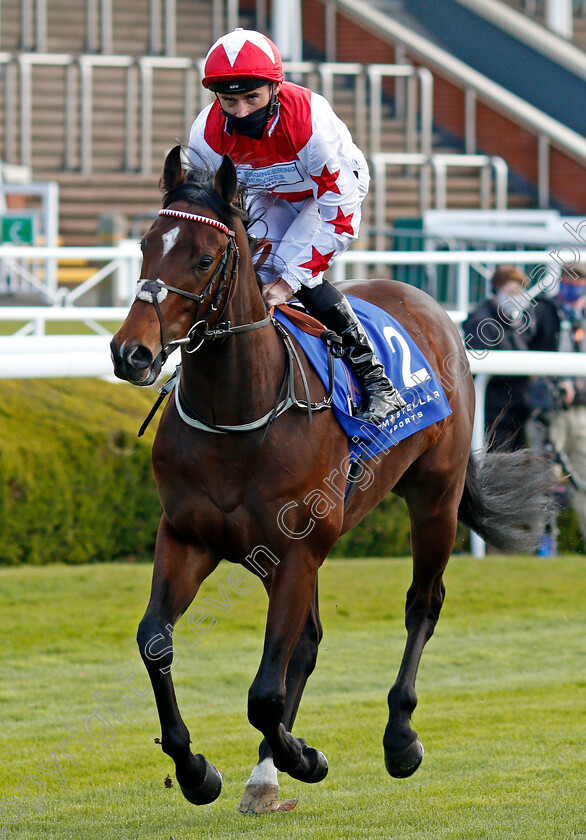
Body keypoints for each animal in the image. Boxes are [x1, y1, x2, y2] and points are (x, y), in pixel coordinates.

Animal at [110, 146, 552, 812]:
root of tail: (426, 302)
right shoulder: (191, 538)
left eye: (205, 258)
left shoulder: (297, 551)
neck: (239, 411)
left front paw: (305, 758)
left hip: (434, 499)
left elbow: (264, 693)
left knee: (422, 605)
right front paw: (196, 770)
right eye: (143, 246)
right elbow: (156, 643)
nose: (129, 353)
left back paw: (398, 737)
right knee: (309, 641)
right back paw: (267, 772)